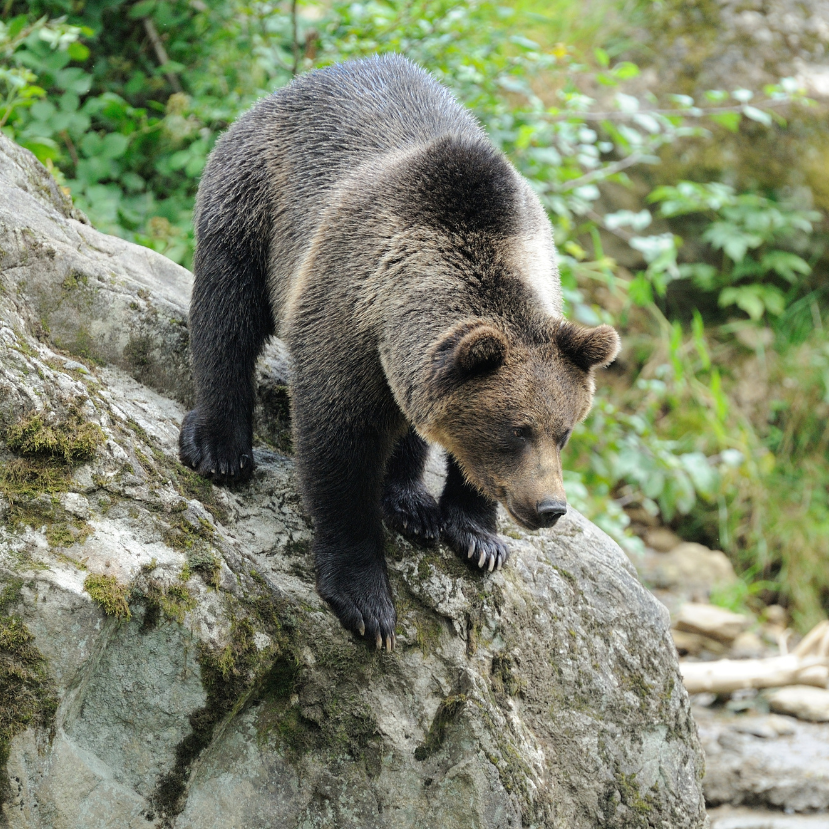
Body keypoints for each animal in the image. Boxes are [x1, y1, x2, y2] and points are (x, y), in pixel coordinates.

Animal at [181, 55, 620, 652]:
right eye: (516, 430)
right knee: (226, 311)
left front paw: (479, 538)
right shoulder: (346, 314)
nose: (551, 508)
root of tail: (298, 83)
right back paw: (220, 444)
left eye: (565, 432)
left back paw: (410, 502)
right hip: (254, 200)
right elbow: (338, 447)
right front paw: (367, 602)